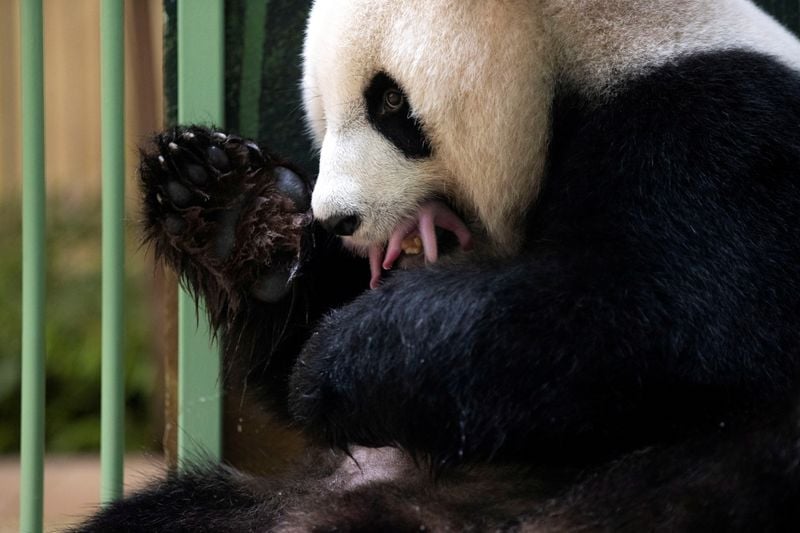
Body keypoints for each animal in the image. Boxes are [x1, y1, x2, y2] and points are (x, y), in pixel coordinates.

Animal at [78, 0, 800, 530]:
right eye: (319, 107)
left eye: (390, 103)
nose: (338, 219)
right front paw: (234, 209)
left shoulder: (721, 135)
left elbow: (638, 317)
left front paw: (339, 362)